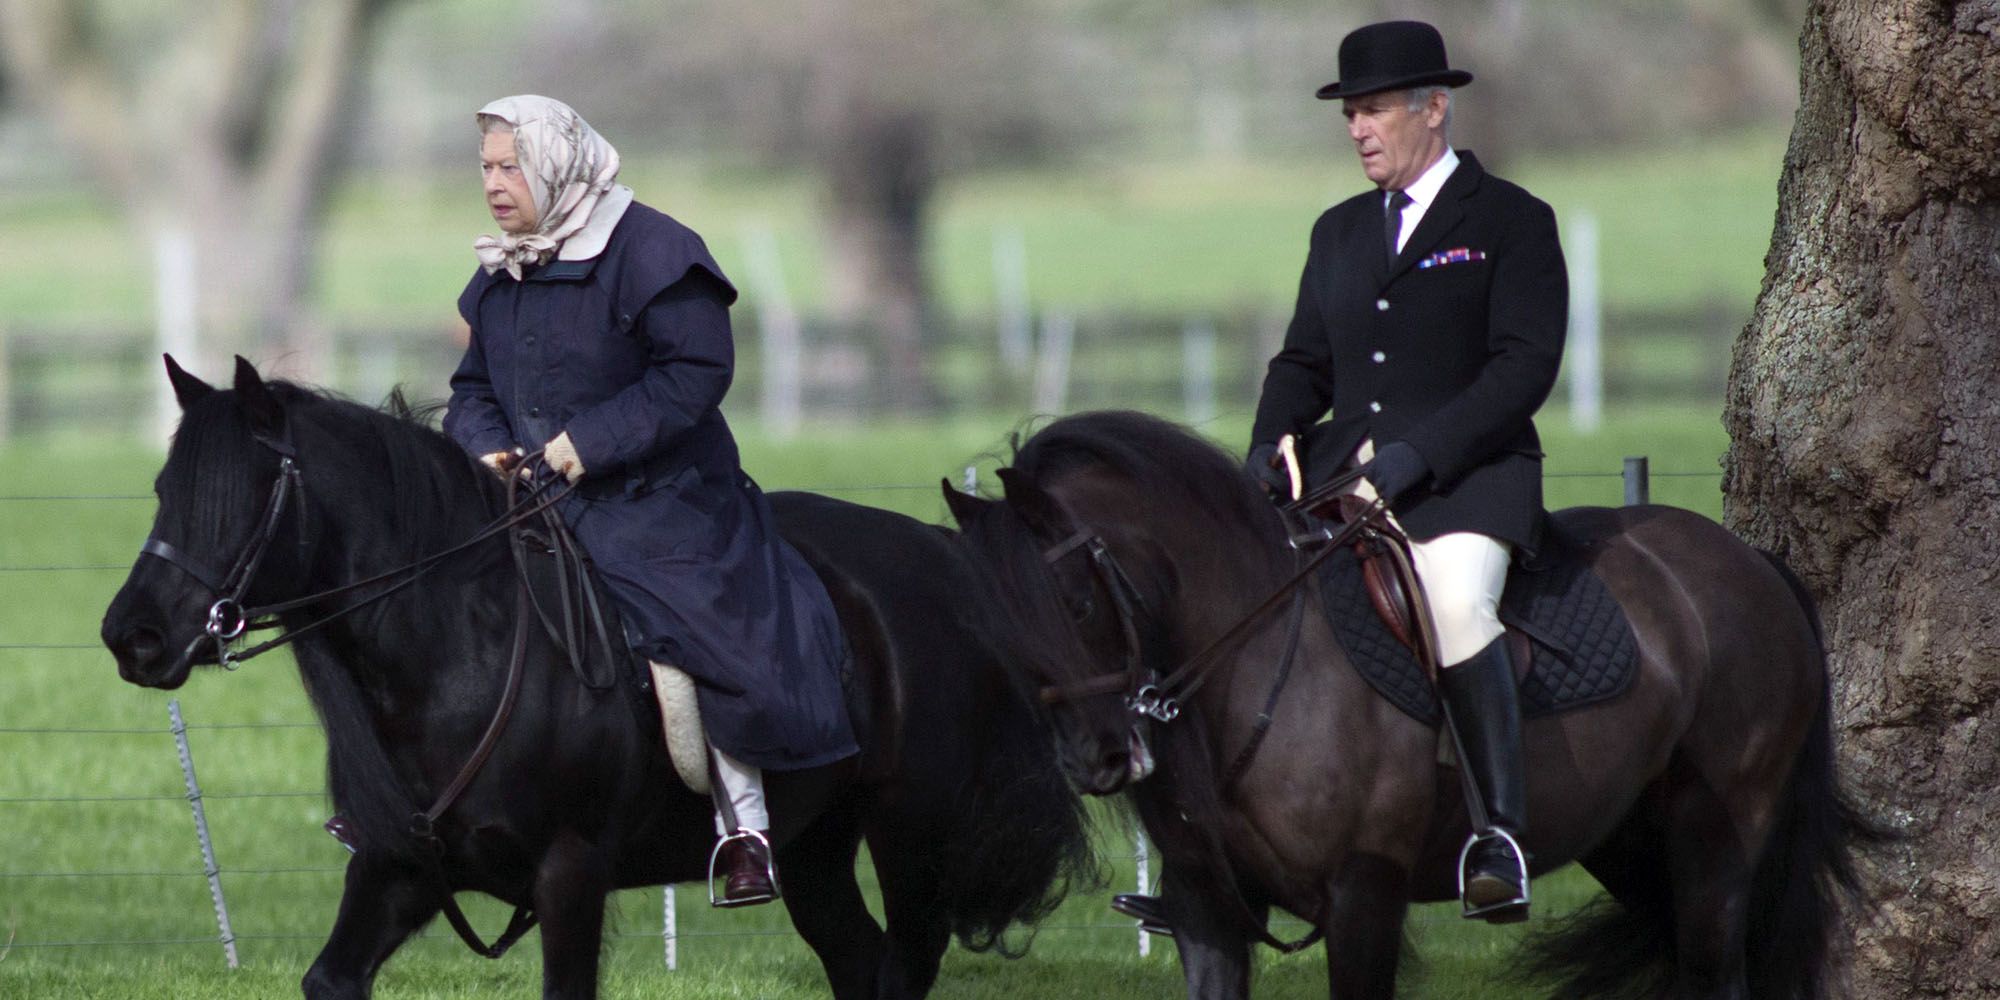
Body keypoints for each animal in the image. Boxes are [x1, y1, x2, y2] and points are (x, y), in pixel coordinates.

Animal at [101, 362, 1096, 1000]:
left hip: (914, 838)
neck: (462, 646)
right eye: (162, 490)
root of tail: (947, 561)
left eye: (240, 497)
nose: (131, 637)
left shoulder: (570, 875)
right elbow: (331, 978)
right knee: (862, 965)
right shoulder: (399, 869)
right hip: (818, 847)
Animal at [944, 410, 1880, 1000]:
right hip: (1630, 842)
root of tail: (1751, 563)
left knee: (1720, 972)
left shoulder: (1364, 897)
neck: (1252, 658)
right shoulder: (1207, 907)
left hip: (1715, 835)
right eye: (997, 613)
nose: (1098, 759)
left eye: (1073, 601)